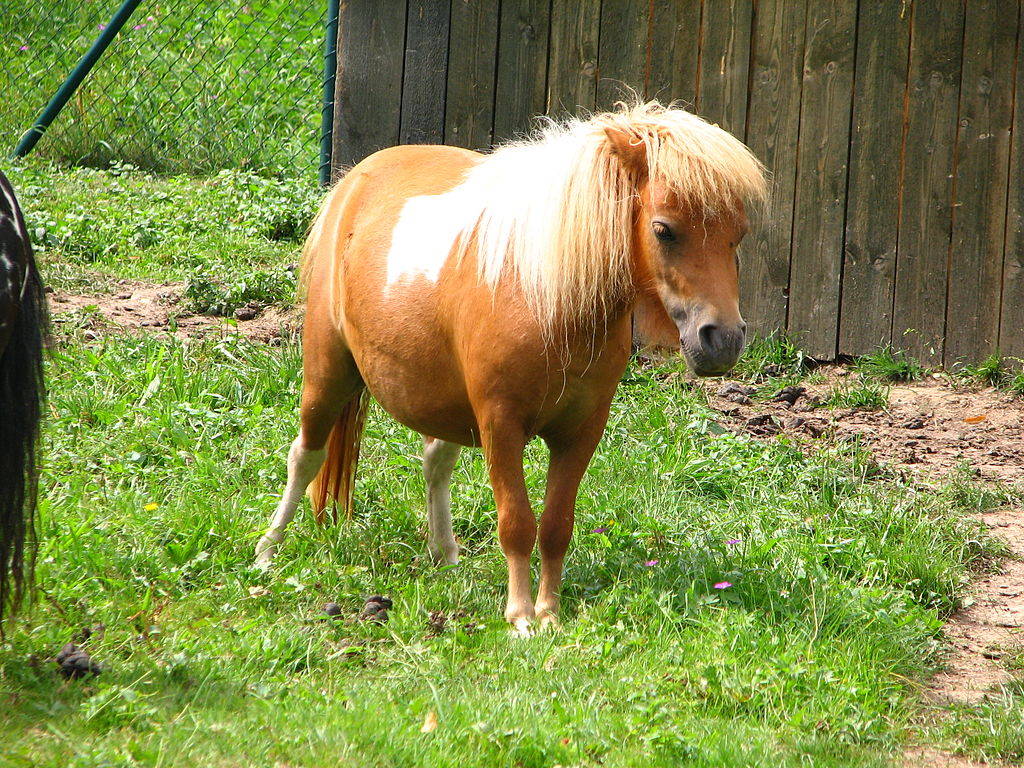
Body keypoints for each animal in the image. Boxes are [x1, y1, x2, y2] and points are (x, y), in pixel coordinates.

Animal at [255, 101, 766, 634]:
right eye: (664, 230)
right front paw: (521, 616)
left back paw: (445, 555)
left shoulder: (580, 432)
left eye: (738, 235)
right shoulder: (501, 426)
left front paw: (550, 613)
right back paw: (267, 552)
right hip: (328, 371)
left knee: (435, 461)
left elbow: (557, 525)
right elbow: (517, 523)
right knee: (305, 454)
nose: (723, 340)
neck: (546, 297)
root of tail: (355, 179)